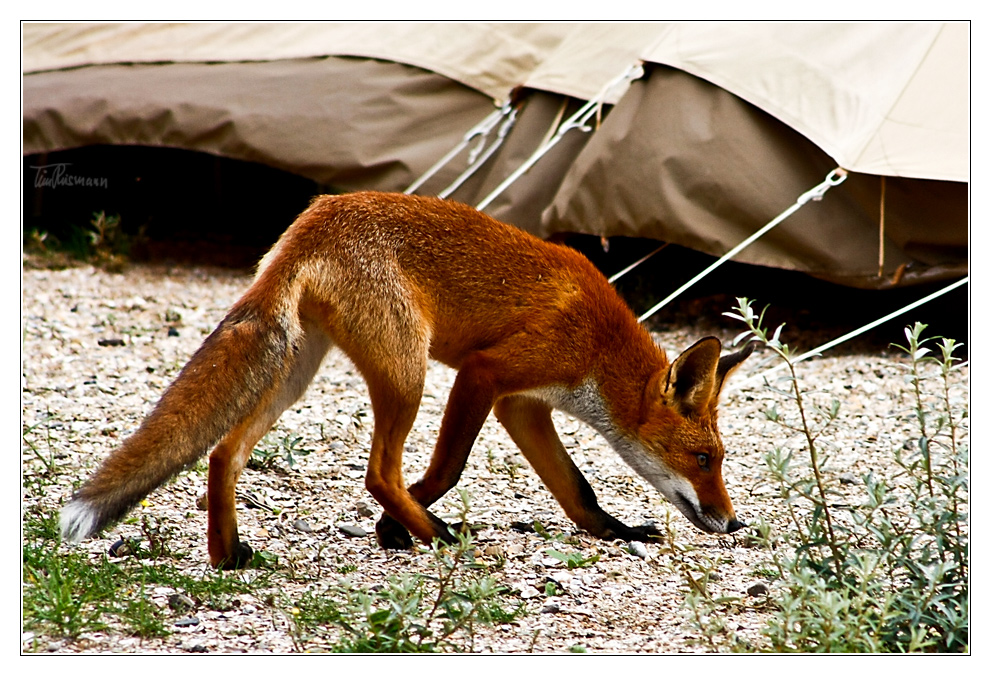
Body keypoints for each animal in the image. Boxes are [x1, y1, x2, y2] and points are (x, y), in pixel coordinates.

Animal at [60, 191, 752, 572]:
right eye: (703, 459)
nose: (733, 523)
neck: (598, 345)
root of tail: (314, 217)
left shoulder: (524, 406)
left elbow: (575, 488)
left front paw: (616, 532)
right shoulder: (486, 375)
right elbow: (446, 470)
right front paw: (396, 529)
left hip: (298, 373)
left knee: (225, 451)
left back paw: (227, 554)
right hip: (407, 371)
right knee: (378, 473)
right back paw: (437, 535)